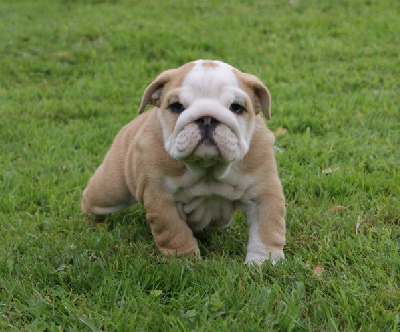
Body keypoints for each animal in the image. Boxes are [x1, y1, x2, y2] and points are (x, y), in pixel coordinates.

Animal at [82, 58, 284, 264]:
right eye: (176, 106)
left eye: (237, 107)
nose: (207, 118)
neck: (208, 167)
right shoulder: (162, 202)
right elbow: (175, 233)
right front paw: (186, 261)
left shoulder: (263, 194)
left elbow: (267, 230)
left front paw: (263, 262)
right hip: (111, 189)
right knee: (93, 200)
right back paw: (90, 224)